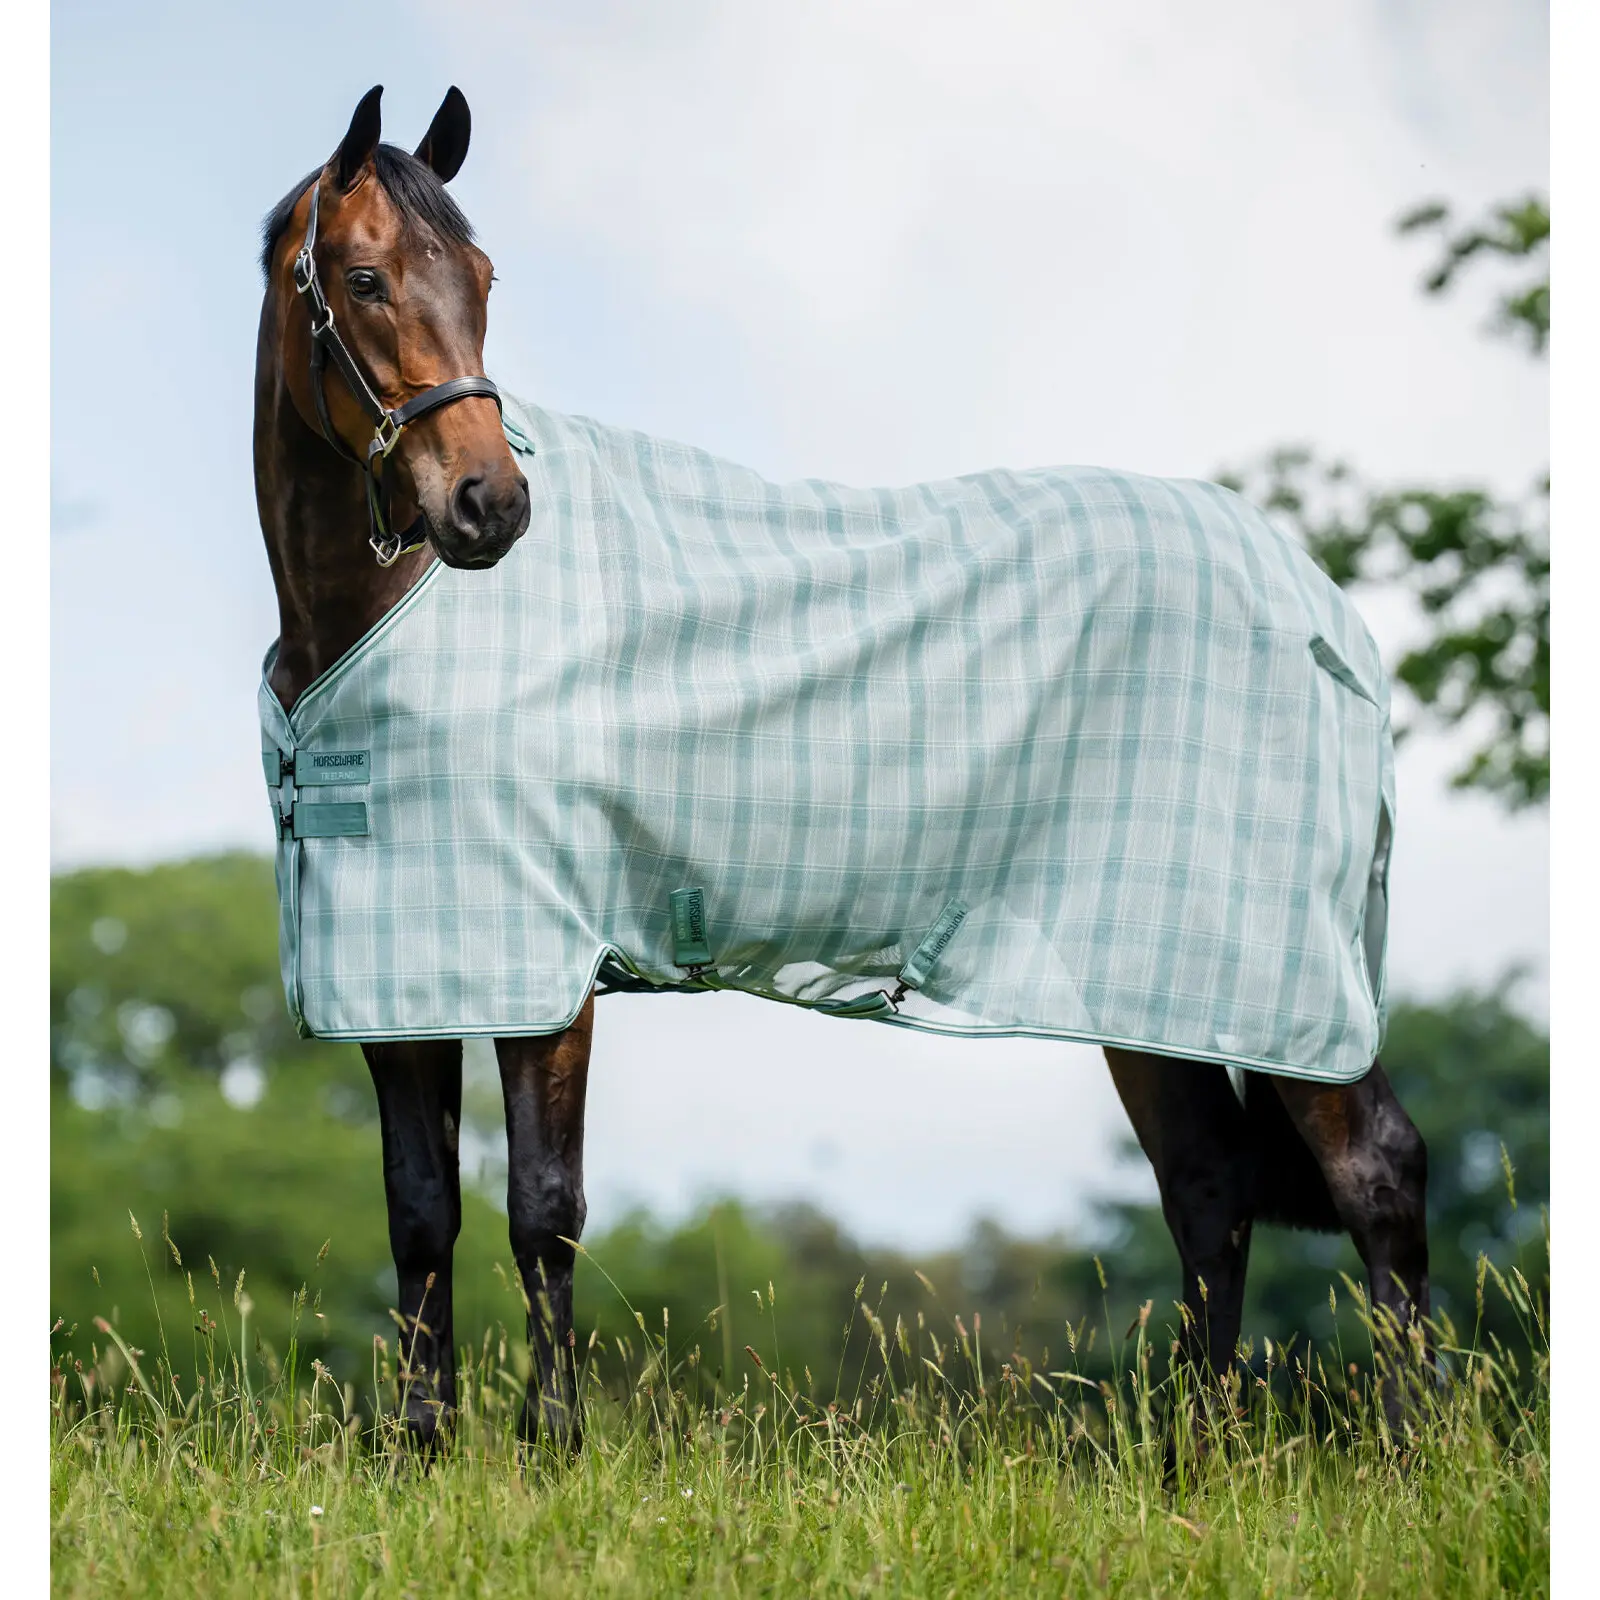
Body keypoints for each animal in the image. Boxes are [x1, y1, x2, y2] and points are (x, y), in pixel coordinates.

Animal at [254, 86, 1431, 1453]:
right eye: (365, 276)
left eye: (483, 277)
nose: (489, 505)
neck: (379, 619)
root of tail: (1323, 611)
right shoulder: (401, 969)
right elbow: (420, 1212)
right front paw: (422, 1450)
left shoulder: (541, 967)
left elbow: (543, 1210)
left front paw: (553, 1449)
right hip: (1151, 979)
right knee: (1208, 1186)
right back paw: (1193, 1460)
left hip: (1276, 970)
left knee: (1374, 1169)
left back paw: (1415, 1445)